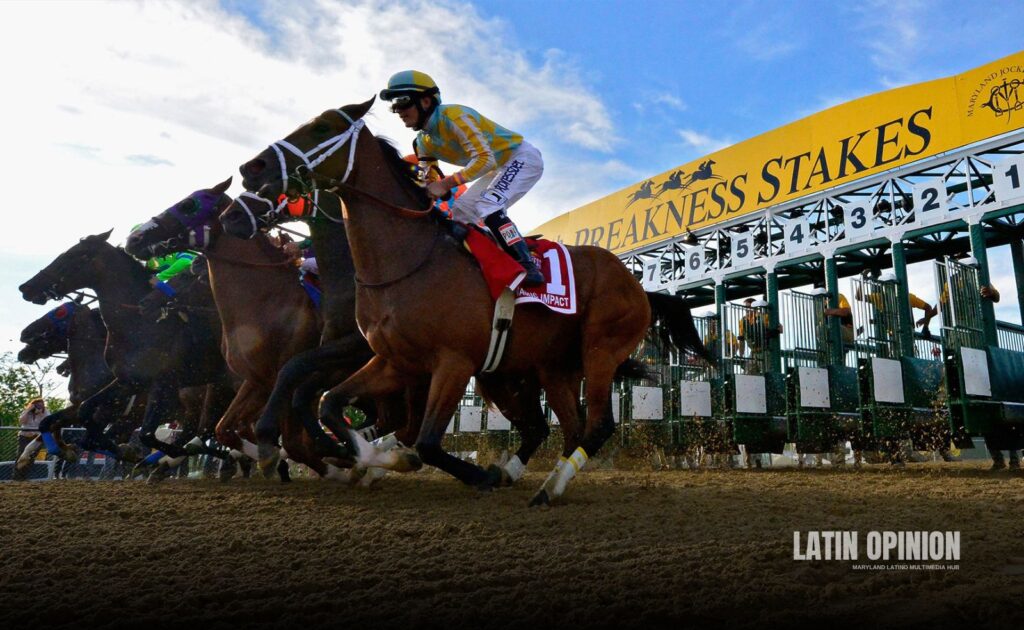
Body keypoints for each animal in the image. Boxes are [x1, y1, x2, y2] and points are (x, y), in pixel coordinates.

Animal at [18, 231, 234, 473]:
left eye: (73, 255)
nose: (26, 287)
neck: (138, 325)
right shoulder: (125, 383)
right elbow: (67, 420)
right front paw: (47, 454)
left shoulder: (158, 386)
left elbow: (136, 435)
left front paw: (130, 453)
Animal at [236, 96, 708, 506]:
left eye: (322, 128)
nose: (250, 168)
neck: (408, 259)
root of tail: (638, 285)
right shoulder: (396, 361)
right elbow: (333, 404)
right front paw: (368, 459)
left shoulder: (453, 361)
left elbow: (426, 441)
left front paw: (452, 470)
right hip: (548, 369)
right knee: (565, 427)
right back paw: (537, 478)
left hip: (600, 350)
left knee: (597, 424)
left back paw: (545, 486)